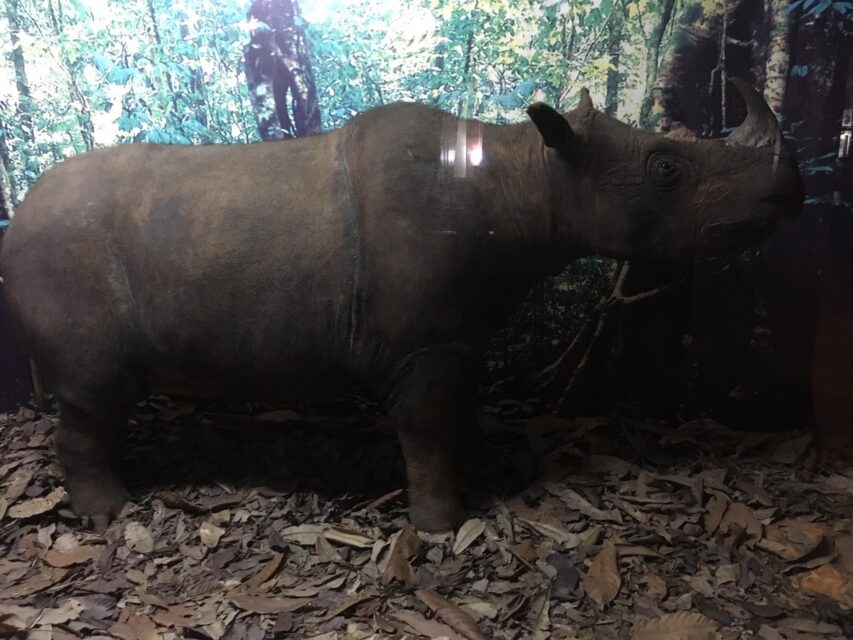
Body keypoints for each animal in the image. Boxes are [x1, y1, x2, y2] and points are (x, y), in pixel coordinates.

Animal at [0, 80, 804, 531]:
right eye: (666, 170)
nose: (788, 195)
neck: (528, 176)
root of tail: (17, 213)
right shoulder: (420, 344)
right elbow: (424, 432)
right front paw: (445, 526)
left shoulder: (457, 333)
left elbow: (455, 415)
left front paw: (481, 470)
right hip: (62, 257)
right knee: (95, 392)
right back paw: (110, 512)